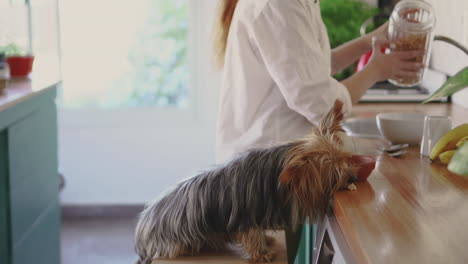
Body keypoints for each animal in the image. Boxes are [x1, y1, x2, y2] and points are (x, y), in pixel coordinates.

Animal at [135, 100, 358, 262]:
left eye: (345, 159)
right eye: (334, 174)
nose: (353, 177)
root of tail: (142, 228)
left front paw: (267, 241)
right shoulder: (247, 215)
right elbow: (252, 235)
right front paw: (262, 253)